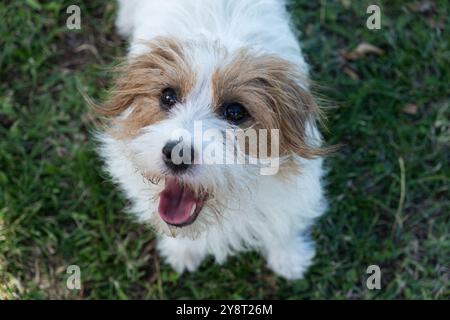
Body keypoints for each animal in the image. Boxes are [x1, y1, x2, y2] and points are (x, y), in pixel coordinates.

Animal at [96, 0, 330, 280]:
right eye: (167, 96)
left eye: (235, 112)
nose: (176, 155)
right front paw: (182, 250)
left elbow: (284, 223)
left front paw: (288, 257)